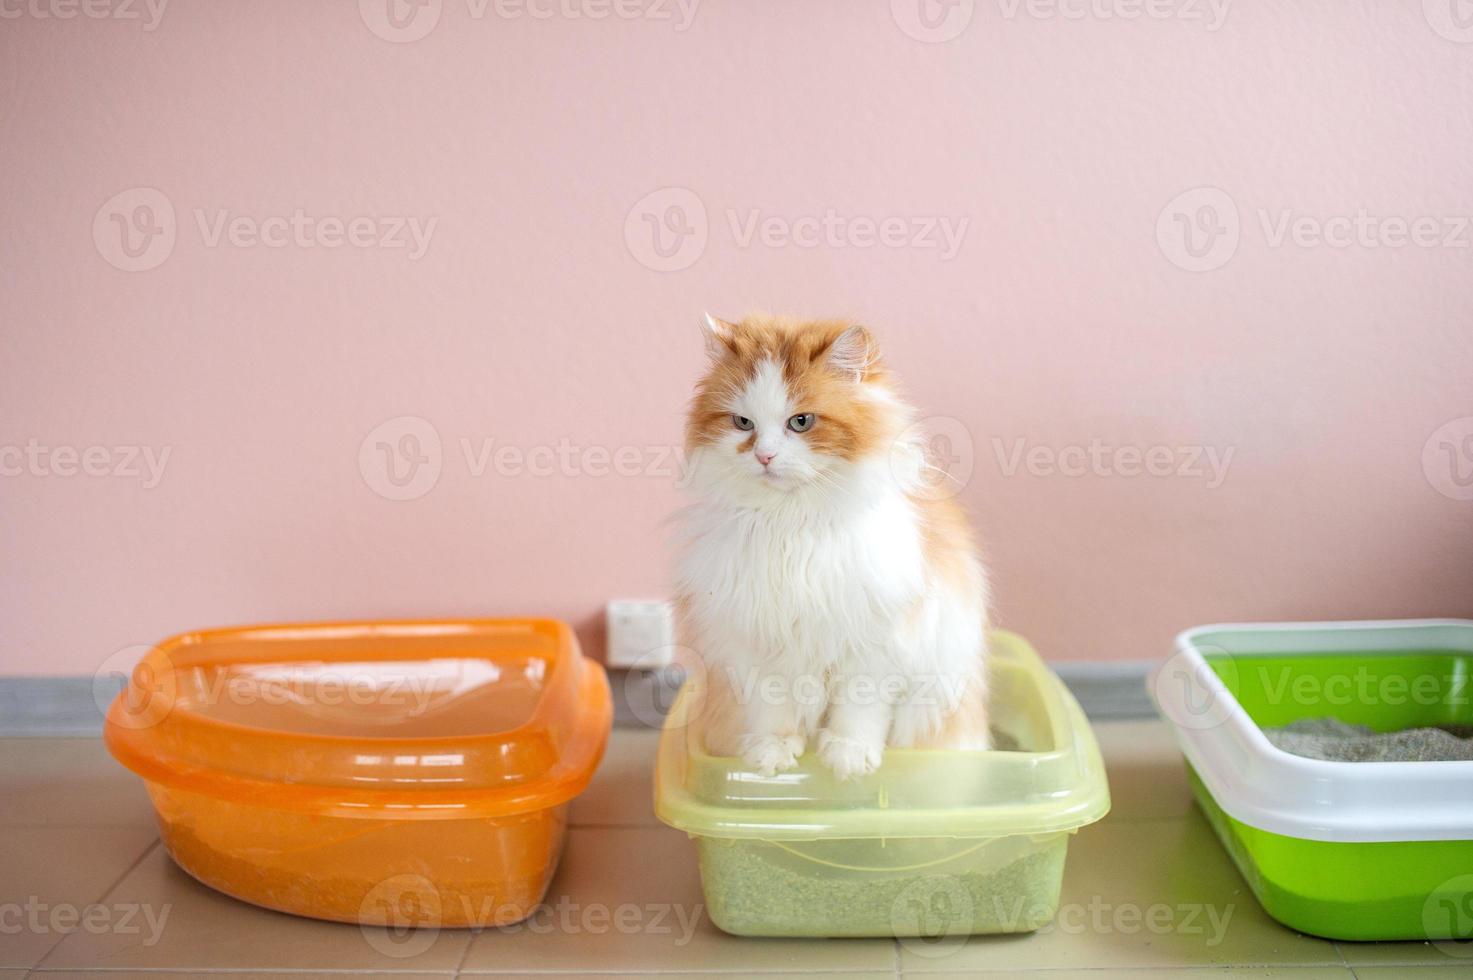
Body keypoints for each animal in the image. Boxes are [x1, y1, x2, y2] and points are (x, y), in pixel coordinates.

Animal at [671, 313, 989, 778]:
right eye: (743, 424)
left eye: (801, 422)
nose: (764, 457)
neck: (791, 521)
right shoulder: (754, 642)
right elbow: (772, 708)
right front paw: (771, 754)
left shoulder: (874, 645)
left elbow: (859, 709)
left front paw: (848, 756)